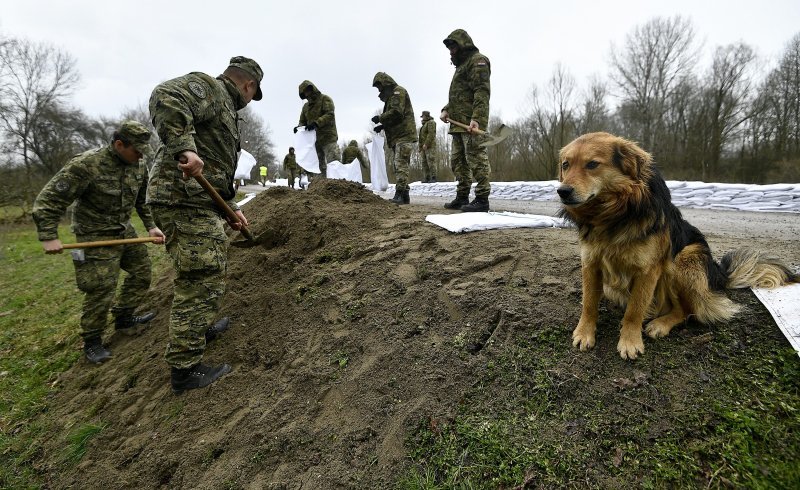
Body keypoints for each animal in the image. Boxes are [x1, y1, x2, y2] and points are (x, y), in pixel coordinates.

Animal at [560, 133, 796, 360]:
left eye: (592, 164)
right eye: (565, 165)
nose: (562, 191)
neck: (613, 214)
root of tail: (717, 273)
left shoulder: (648, 271)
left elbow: (635, 310)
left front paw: (630, 342)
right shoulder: (591, 263)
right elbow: (589, 302)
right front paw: (584, 333)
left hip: (684, 260)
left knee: (686, 311)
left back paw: (660, 325)